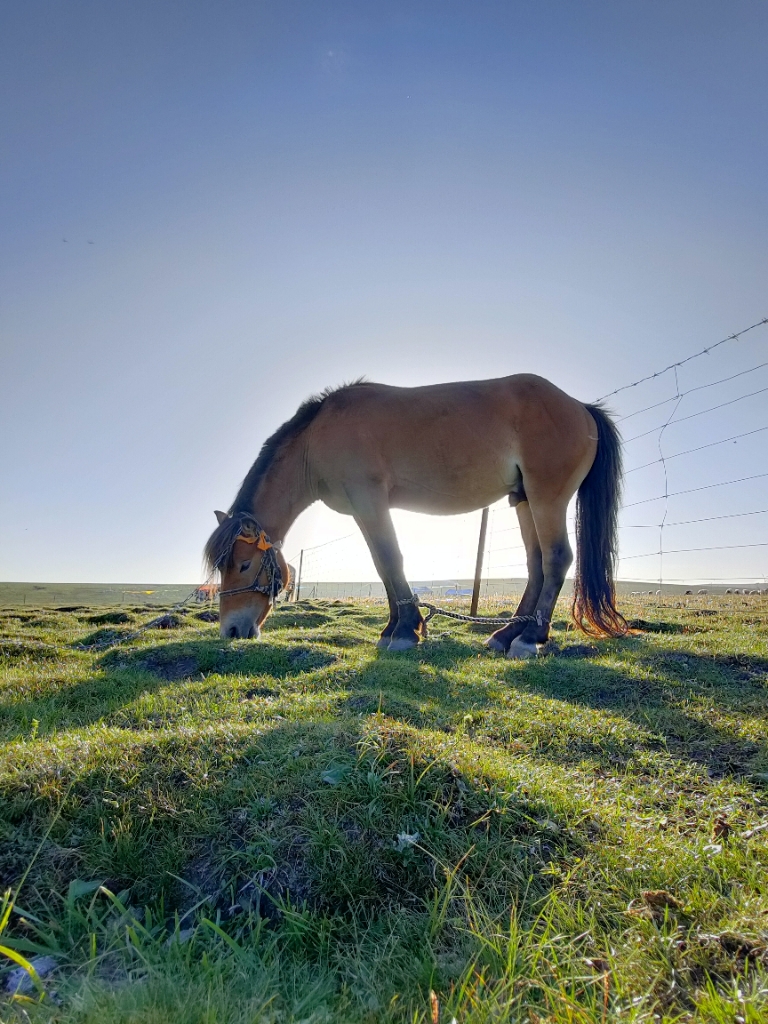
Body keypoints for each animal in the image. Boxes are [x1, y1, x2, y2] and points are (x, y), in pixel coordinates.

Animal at [204, 376, 626, 655]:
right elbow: (382, 567)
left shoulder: (369, 500)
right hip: (523, 500)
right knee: (536, 564)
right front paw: (395, 628)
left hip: (545, 497)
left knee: (556, 559)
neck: (317, 437)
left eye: (244, 566)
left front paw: (406, 631)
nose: (231, 630)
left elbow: (391, 560)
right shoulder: (364, 509)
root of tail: (581, 408)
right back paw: (505, 635)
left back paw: (528, 639)